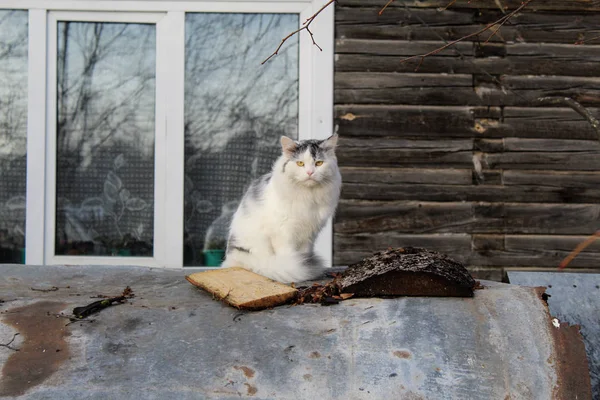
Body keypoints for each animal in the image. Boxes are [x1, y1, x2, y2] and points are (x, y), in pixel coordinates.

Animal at [221, 136, 342, 282]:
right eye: (300, 163)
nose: (310, 173)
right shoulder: (284, 233)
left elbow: (304, 255)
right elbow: (290, 257)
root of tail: (232, 254)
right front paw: (297, 270)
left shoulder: (309, 234)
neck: (308, 196)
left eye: (319, 163)